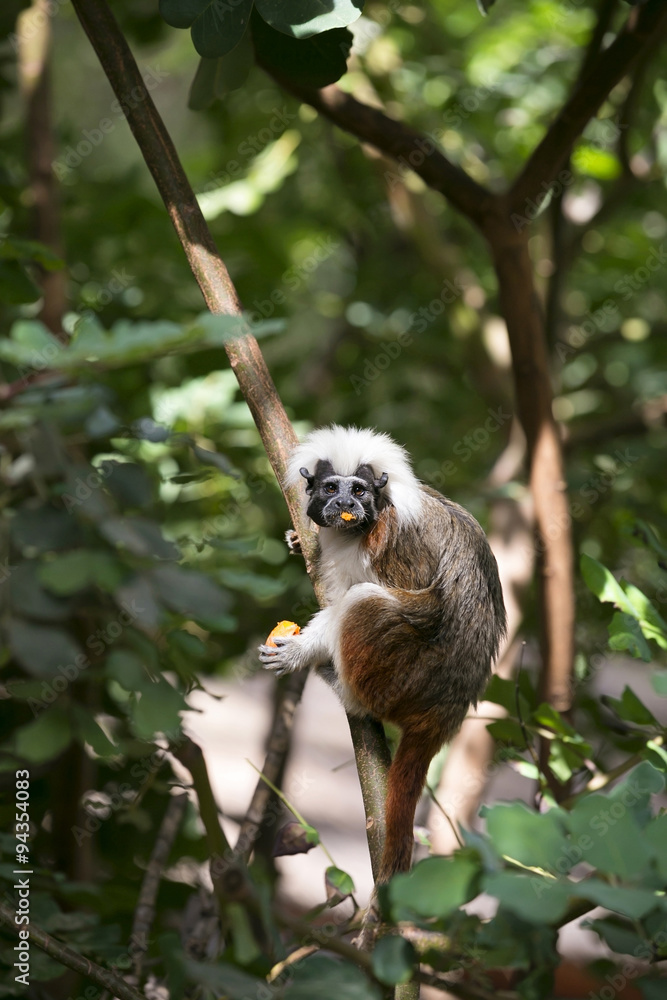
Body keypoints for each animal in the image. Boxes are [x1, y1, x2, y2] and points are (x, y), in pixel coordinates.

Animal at [259, 425, 506, 883]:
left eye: (358, 490)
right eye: (331, 488)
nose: (345, 505)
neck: (351, 533)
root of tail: (448, 709)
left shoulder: (394, 539)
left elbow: (401, 600)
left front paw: (299, 651)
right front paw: (297, 539)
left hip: (404, 674)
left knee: (367, 602)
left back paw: (346, 691)